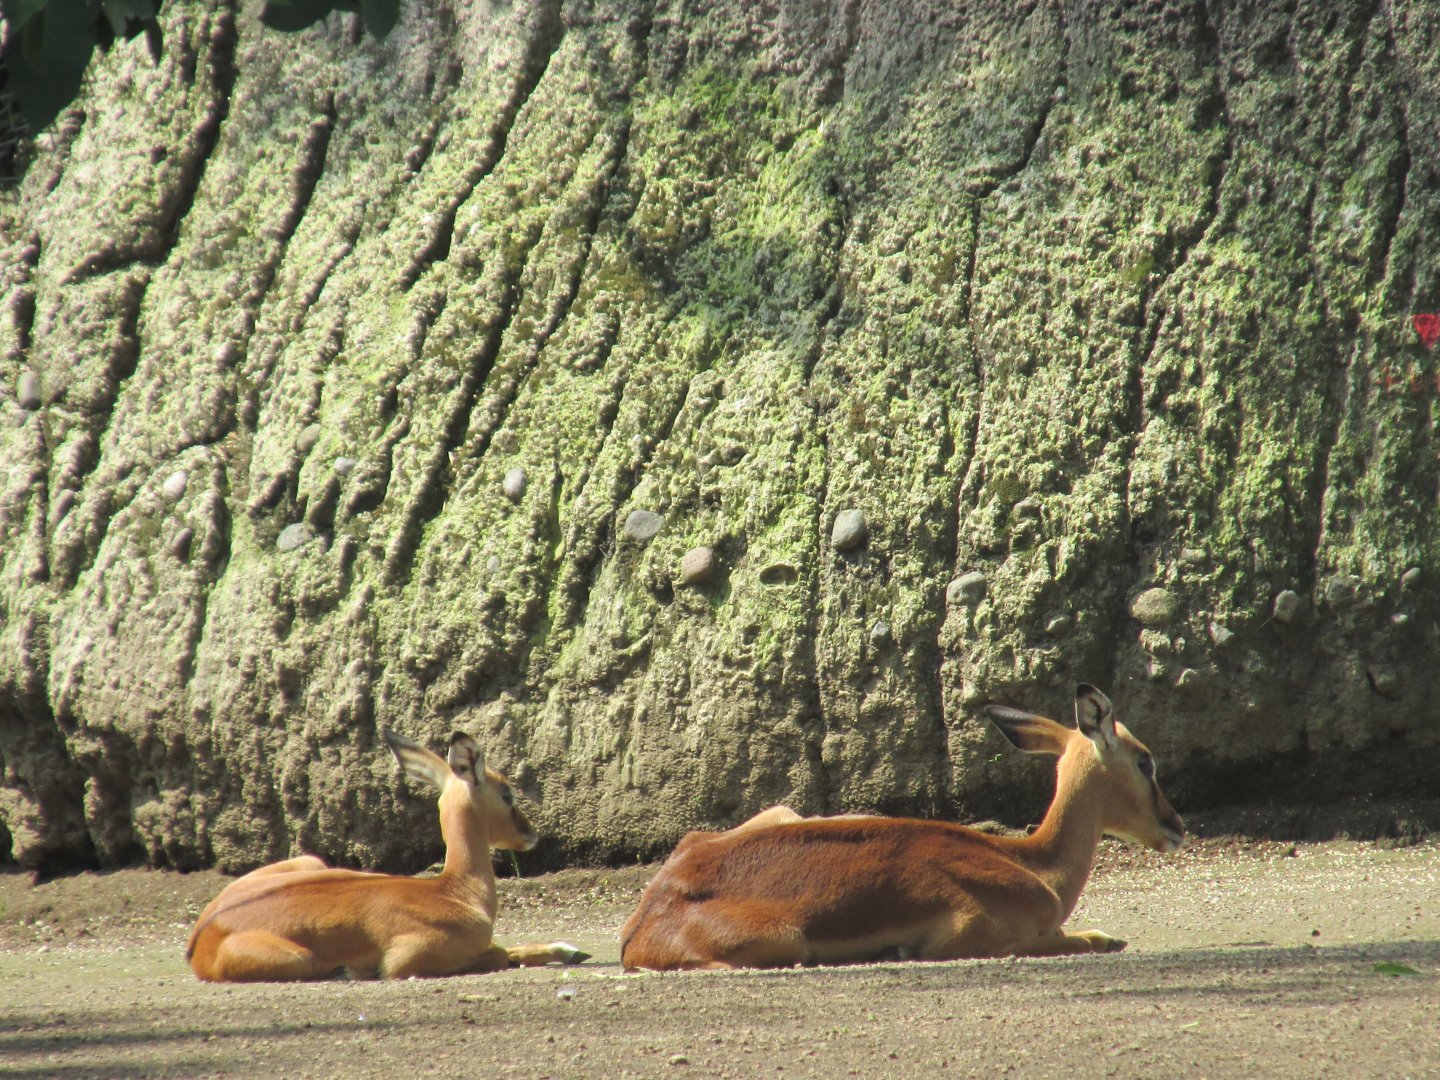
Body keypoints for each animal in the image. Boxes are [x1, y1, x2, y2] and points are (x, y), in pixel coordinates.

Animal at [187, 730, 590, 981]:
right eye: (507, 794)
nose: (531, 834)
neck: (455, 893)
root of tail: (201, 938)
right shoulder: (405, 959)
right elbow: (498, 952)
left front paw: (570, 950)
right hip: (298, 958)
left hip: (310, 863)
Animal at [620, 684, 1184, 969]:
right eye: (1145, 761)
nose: (1175, 825)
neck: (1035, 867)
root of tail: (642, 924)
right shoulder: (967, 937)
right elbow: (1075, 941)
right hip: (784, 941)